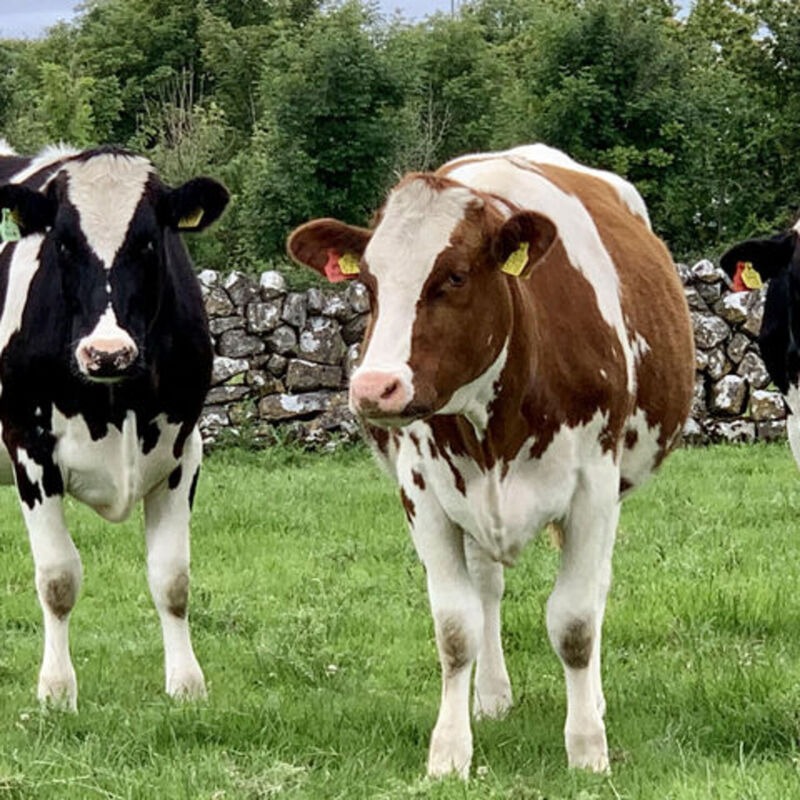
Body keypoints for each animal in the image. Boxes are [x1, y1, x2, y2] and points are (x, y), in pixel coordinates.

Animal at [0, 141, 228, 710]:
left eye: (149, 241)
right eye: (62, 242)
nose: (106, 352)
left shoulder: (185, 447)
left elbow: (173, 579)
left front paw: (186, 684)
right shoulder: (28, 448)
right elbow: (58, 578)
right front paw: (57, 691)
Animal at [287, 144, 694, 776]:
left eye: (454, 276)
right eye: (369, 283)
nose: (375, 388)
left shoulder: (593, 488)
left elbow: (576, 623)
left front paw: (587, 749)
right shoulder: (423, 494)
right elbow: (457, 629)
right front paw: (449, 752)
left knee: (596, 586)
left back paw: (594, 702)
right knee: (488, 589)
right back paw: (494, 696)